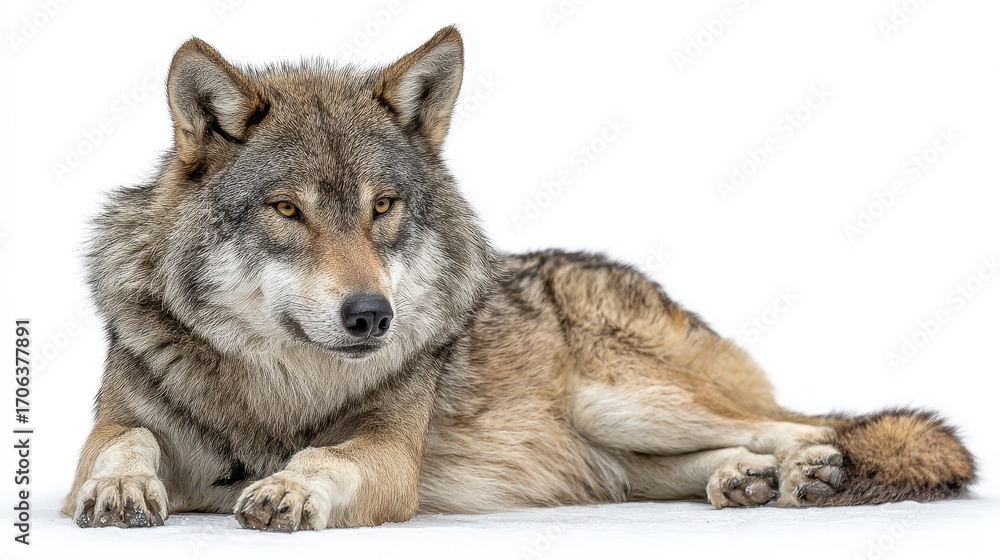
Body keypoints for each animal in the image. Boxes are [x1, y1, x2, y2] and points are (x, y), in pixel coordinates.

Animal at [64, 26, 975, 531]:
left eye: (383, 206)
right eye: (288, 210)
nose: (371, 316)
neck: (273, 394)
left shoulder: (390, 456)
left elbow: (326, 457)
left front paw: (287, 488)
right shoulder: (108, 429)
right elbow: (126, 442)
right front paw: (121, 488)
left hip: (628, 401)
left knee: (794, 422)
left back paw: (805, 470)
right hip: (622, 447)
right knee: (715, 454)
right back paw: (744, 482)